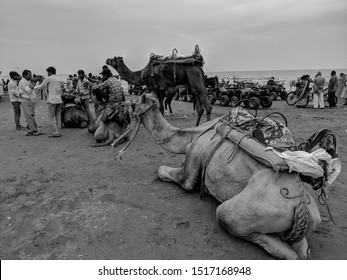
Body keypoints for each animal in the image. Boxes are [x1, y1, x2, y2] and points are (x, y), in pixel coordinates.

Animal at [113, 93, 342, 260]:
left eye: (133, 104)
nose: (123, 108)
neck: (195, 134)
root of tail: (300, 204)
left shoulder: (191, 167)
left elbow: (164, 171)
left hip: (244, 210)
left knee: (232, 219)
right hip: (310, 219)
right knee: (302, 250)